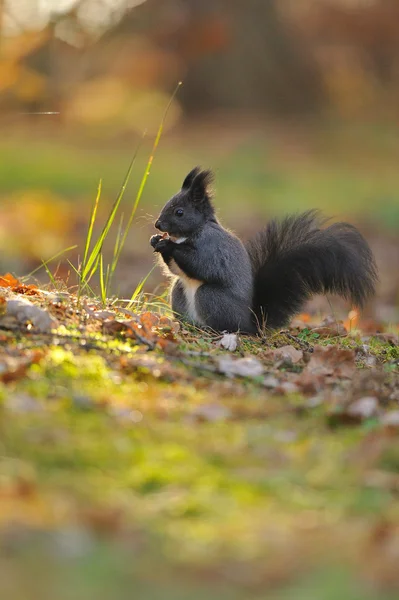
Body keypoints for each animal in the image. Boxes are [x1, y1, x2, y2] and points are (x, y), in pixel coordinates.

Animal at [151, 166, 378, 332]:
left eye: (179, 212)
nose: (158, 225)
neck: (190, 233)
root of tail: (250, 323)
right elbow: (175, 270)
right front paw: (156, 241)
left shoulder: (213, 246)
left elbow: (203, 265)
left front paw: (168, 245)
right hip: (178, 292)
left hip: (211, 298)